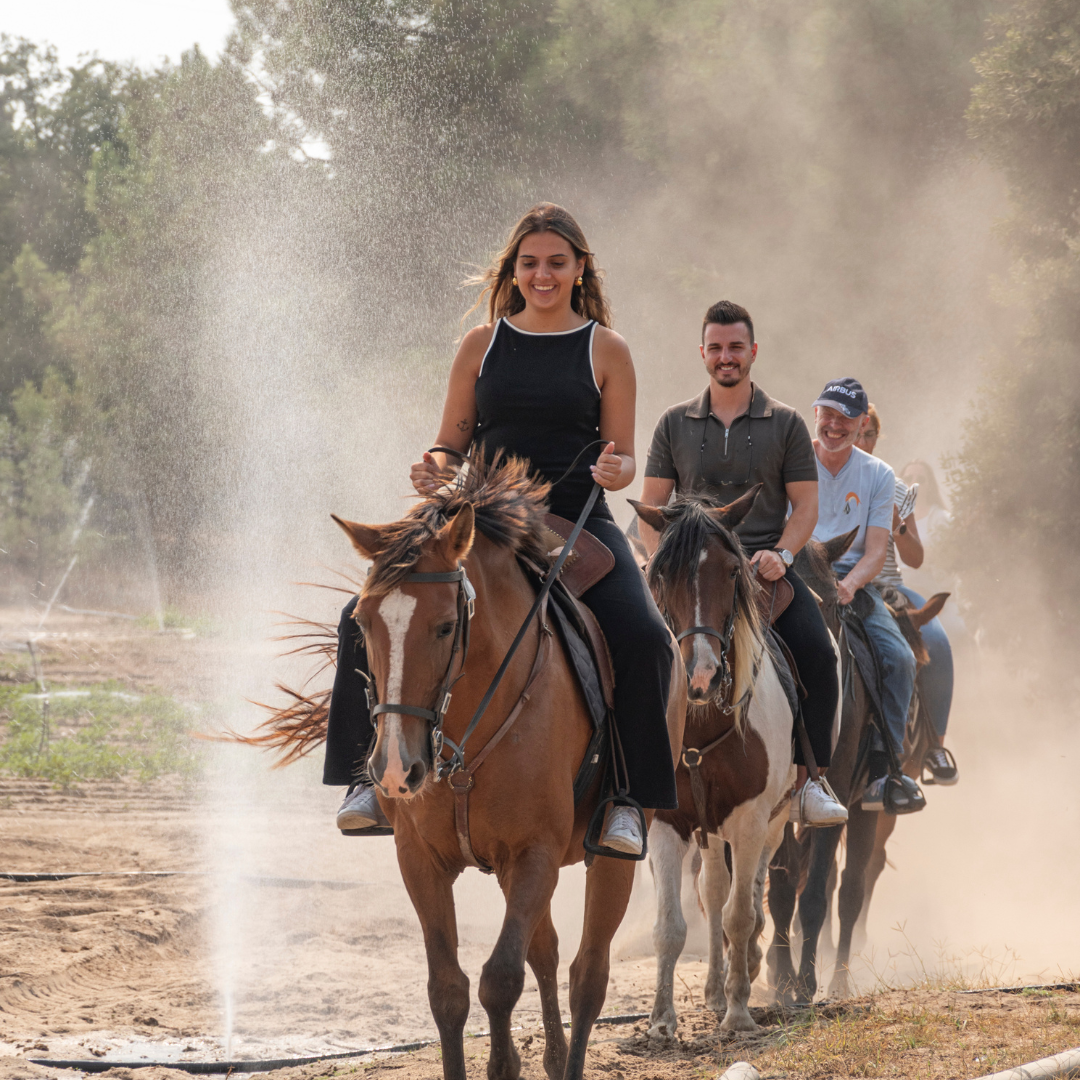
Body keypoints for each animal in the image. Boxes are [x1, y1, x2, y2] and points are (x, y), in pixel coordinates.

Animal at [246, 460, 682, 1080]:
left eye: (447, 626)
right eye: (364, 623)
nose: (396, 768)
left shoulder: (533, 855)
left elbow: (499, 979)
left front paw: (505, 1062)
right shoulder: (421, 860)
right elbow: (448, 990)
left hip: (610, 856)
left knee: (588, 975)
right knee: (548, 953)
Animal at [630, 494, 799, 1032]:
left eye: (731, 571)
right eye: (661, 573)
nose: (700, 676)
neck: (701, 727)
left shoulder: (749, 822)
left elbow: (740, 915)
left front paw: (739, 1011)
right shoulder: (668, 823)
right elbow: (671, 924)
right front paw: (662, 1020)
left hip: (773, 823)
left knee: (749, 894)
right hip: (708, 831)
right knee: (713, 887)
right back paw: (712, 989)